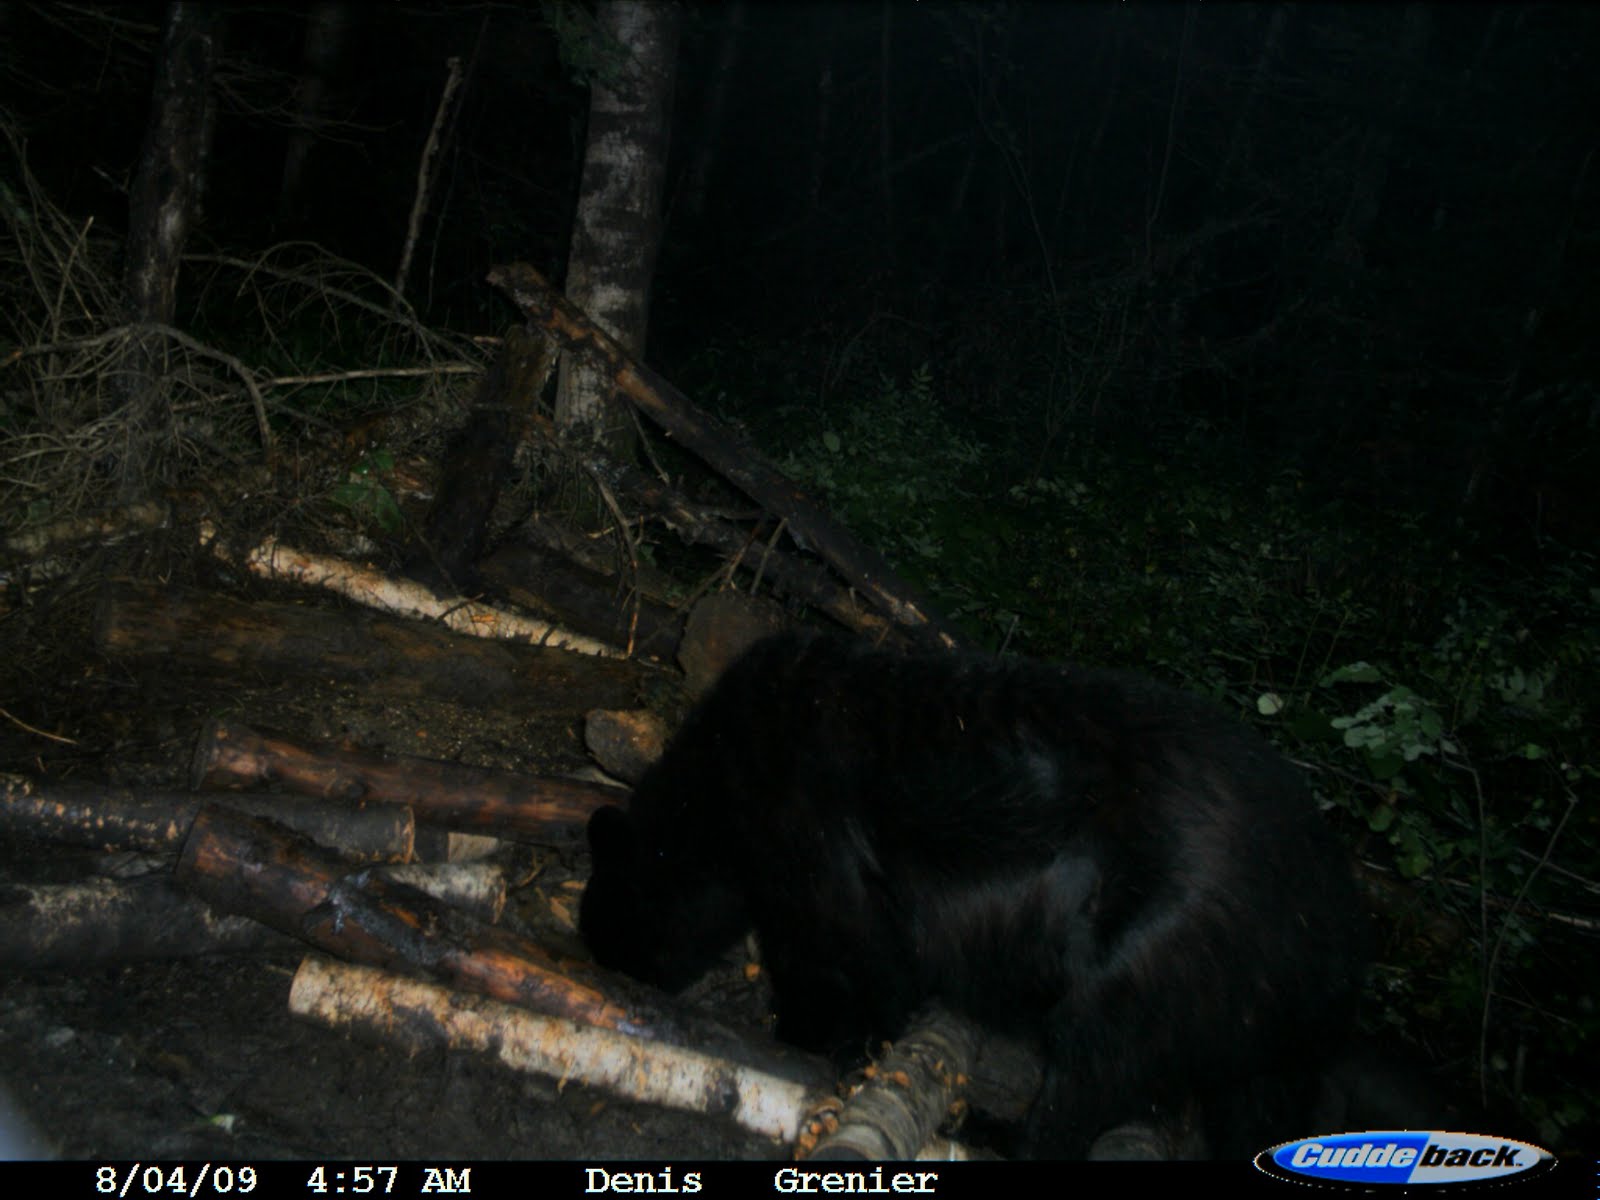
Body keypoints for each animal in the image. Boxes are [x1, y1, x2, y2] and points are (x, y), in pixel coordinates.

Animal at [579, 631, 1365, 1158]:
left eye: (611, 920)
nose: (608, 962)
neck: (718, 791)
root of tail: (1335, 922)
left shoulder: (809, 833)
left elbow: (837, 953)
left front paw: (813, 1036)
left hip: (1162, 944)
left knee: (1092, 1064)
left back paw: (998, 1128)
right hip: (1258, 1020)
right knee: (1253, 1110)